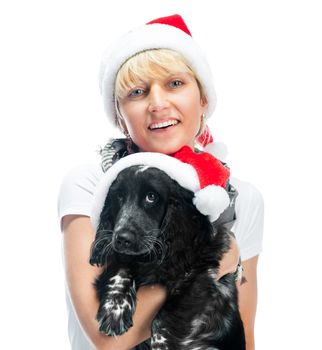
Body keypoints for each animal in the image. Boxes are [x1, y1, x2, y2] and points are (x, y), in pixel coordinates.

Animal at [89, 165, 245, 348]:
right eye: (119, 196)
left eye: (151, 197)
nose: (122, 239)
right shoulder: (122, 256)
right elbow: (120, 269)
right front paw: (114, 309)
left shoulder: (201, 274)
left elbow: (164, 320)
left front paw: (162, 343)